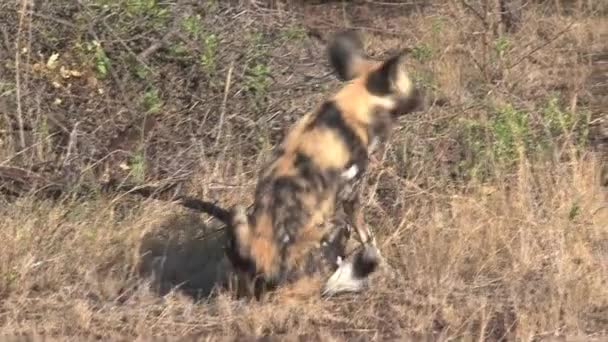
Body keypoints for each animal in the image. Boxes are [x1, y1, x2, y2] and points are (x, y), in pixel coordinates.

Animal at [200, 31, 422, 300]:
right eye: (411, 86)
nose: (424, 98)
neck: (353, 108)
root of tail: (268, 271)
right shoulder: (350, 197)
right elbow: (369, 239)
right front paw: (388, 270)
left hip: (239, 215)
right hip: (332, 228)